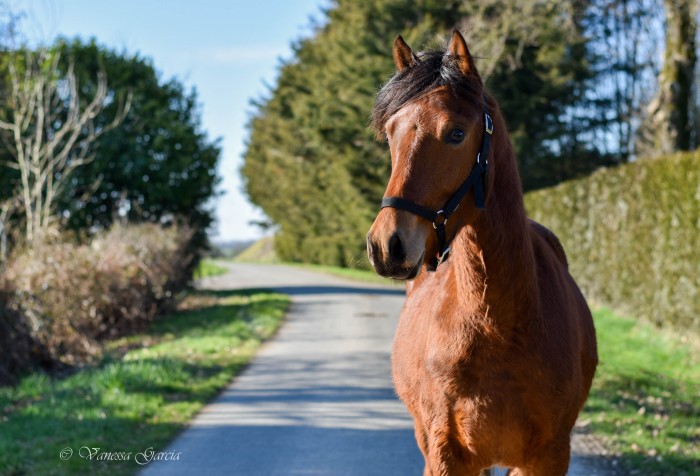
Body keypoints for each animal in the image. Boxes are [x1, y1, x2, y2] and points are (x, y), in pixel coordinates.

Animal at [364, 30, 600, 476]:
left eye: (456, 134)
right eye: (390, 134)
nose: (387, 244)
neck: (497, 325)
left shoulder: (547, 457)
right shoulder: (445, 455)